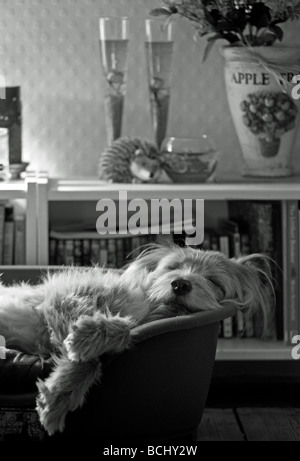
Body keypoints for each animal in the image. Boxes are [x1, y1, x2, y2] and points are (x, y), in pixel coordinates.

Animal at [0, 244, 274, 434]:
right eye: (172, 267)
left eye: (214, 281)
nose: (180, 284)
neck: (148, 308)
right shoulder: (62, 295)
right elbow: (94, 352)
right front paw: (61, 392)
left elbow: (116, 337)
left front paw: (61, 391)